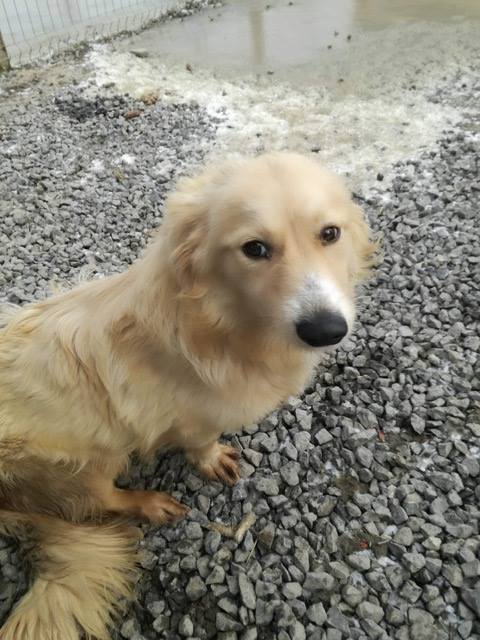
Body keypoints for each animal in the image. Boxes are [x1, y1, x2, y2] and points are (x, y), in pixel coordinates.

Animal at [0, 152, 375, 639]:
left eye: (330, 233)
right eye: (254, 248)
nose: (326, 330)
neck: (224, 324)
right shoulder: (192, 417)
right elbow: (201, 442)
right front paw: (211, 460)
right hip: (81, 459)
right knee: (101, 500)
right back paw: (150, 503)